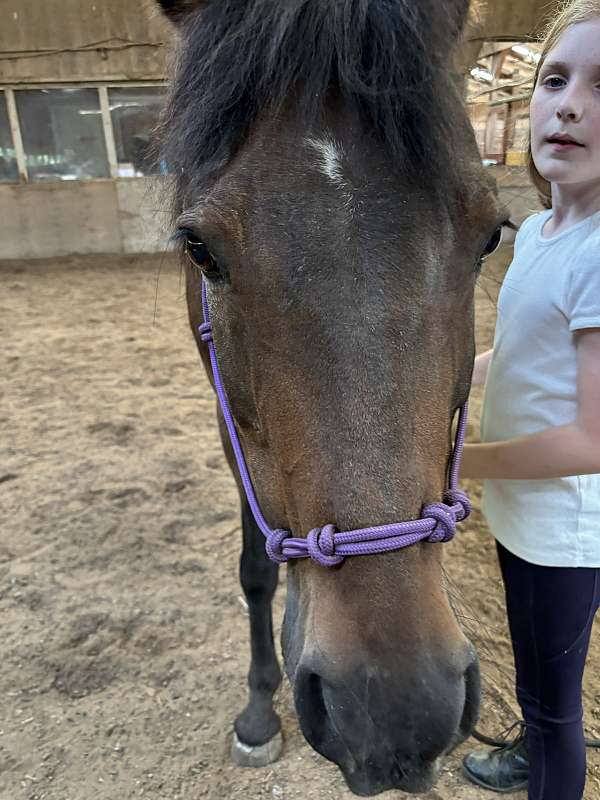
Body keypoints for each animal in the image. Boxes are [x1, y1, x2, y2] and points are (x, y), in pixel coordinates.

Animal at [154, 0, 505, 794]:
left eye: (491, 237)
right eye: (199, 250)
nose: (394, 705)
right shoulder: (228, 421)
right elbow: (255, 568)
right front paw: (259, 711)